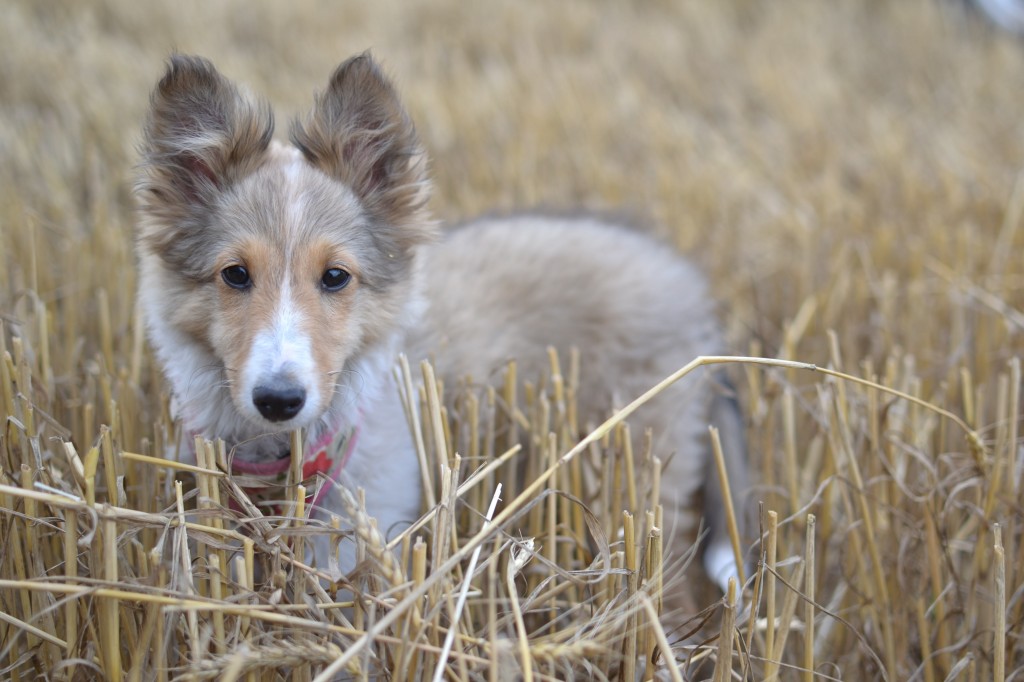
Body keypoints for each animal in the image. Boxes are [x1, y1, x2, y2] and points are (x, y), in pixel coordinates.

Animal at [134, 54, 745, 602]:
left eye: (335, 276)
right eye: (235, 274)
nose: (279, 399)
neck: (282, 459)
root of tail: (691, 288)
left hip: (642, 470)